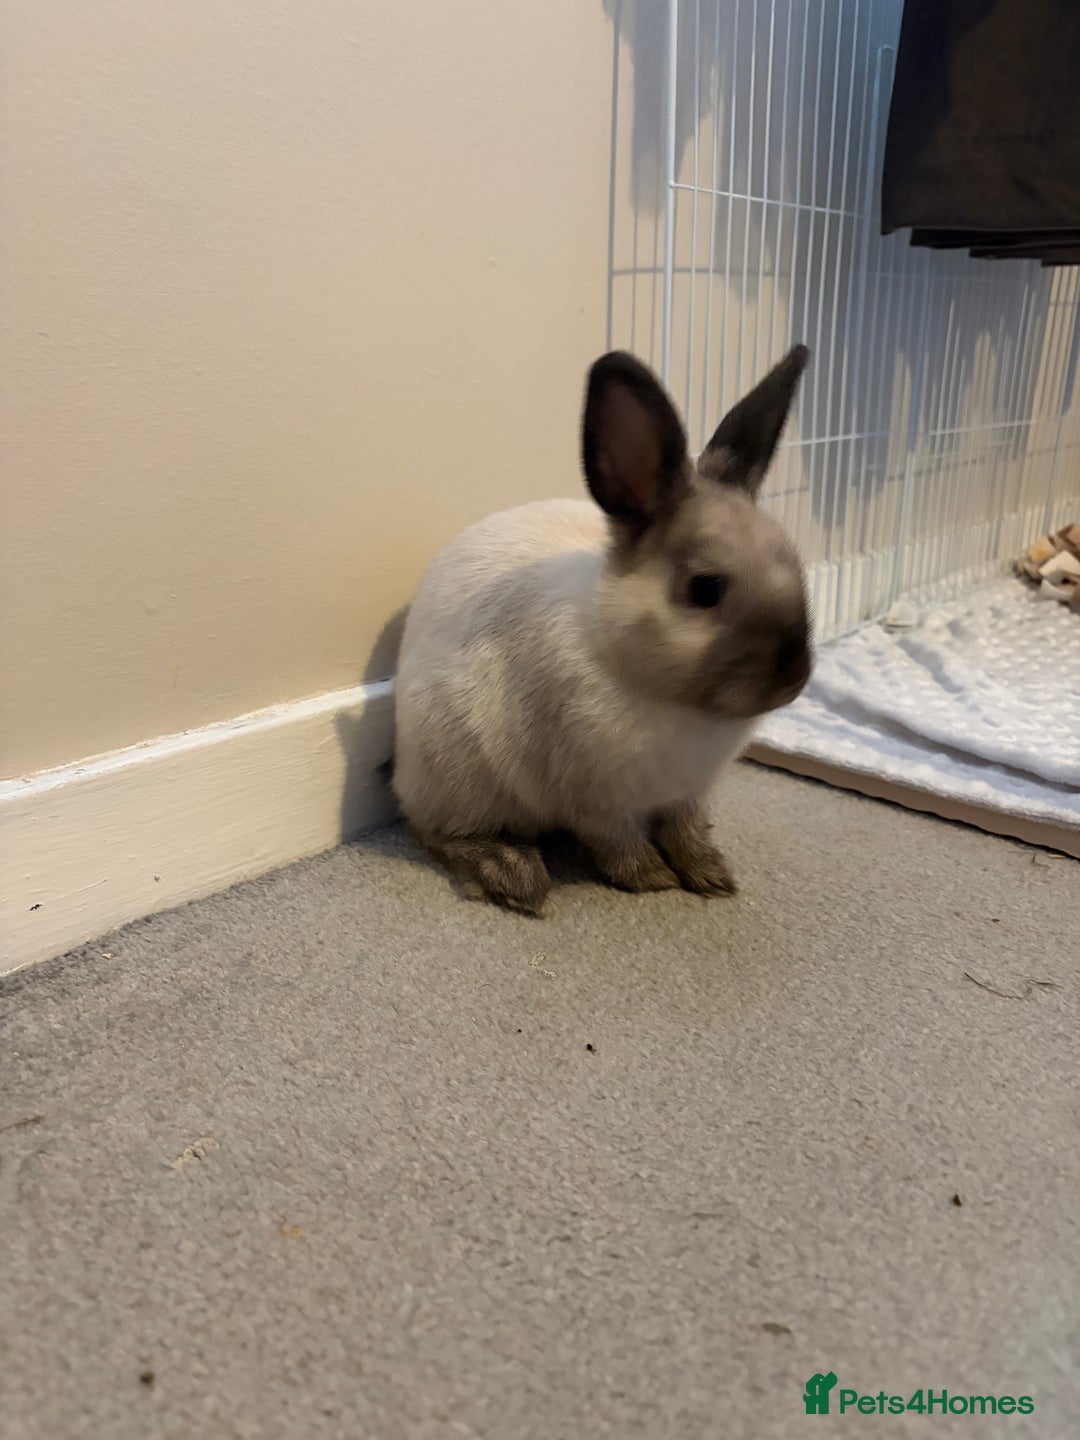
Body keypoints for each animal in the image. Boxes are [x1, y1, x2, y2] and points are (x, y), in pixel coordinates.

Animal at [391, 344, 812, 914]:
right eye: (705, 590)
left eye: (796, 564)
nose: (794, 679)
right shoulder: (593, 800)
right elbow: (617, 841)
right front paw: (652, 878)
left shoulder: (689, 792)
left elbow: (686, 830)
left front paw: (712, 875)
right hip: (460, 775)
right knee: (435, 831)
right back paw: (513, 874)